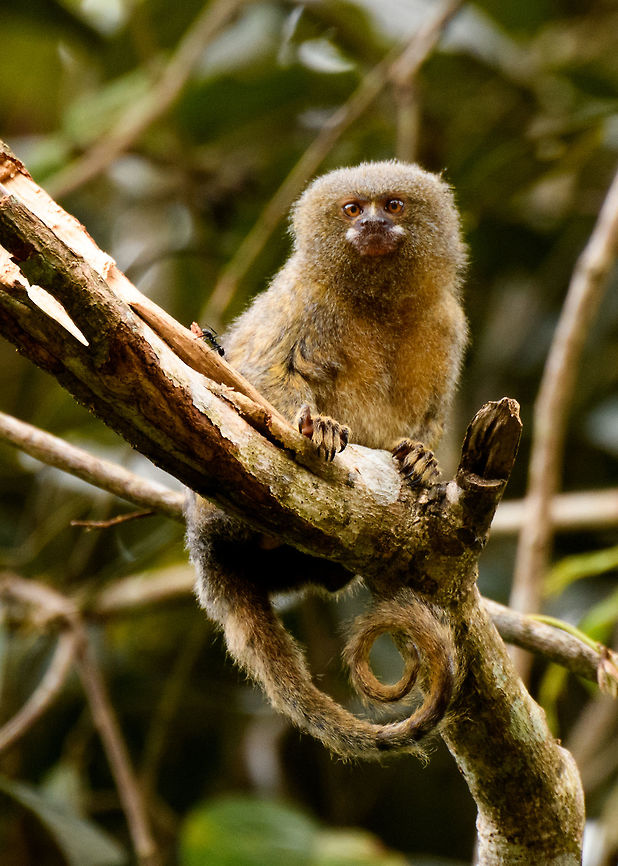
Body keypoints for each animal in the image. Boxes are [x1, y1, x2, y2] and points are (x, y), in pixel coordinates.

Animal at [185, 160, 468, 760]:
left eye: (393, 205)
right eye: (352, 209)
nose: (373, 226)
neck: (377, 301)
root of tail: (206, 551)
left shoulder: (448, 325)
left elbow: (428, 421)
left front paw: (422, 461)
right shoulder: (302, 301)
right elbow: (268, 376)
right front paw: (319, 428)